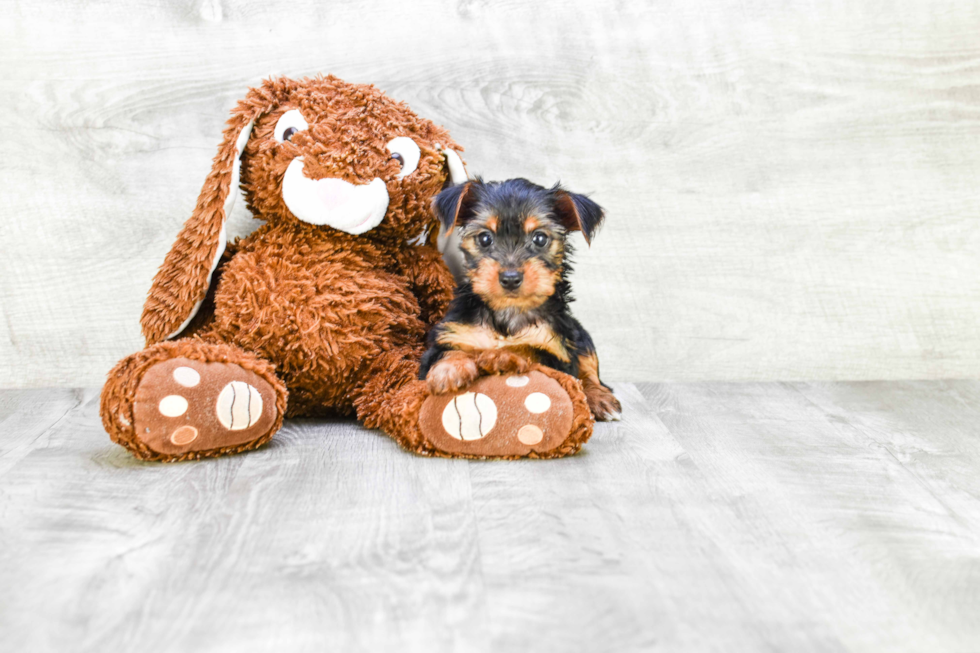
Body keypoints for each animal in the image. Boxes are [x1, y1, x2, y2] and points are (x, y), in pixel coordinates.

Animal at [420, 180, 620, 422]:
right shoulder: (448, 335)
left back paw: (600, 399)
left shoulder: (558, 353)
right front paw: (449, 369)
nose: (510, 278)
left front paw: (503, 355)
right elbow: (448, 349)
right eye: (485, 238)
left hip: (579, 334)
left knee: (590, 370)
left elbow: (530, 348)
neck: (508, 311)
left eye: (540, 238)